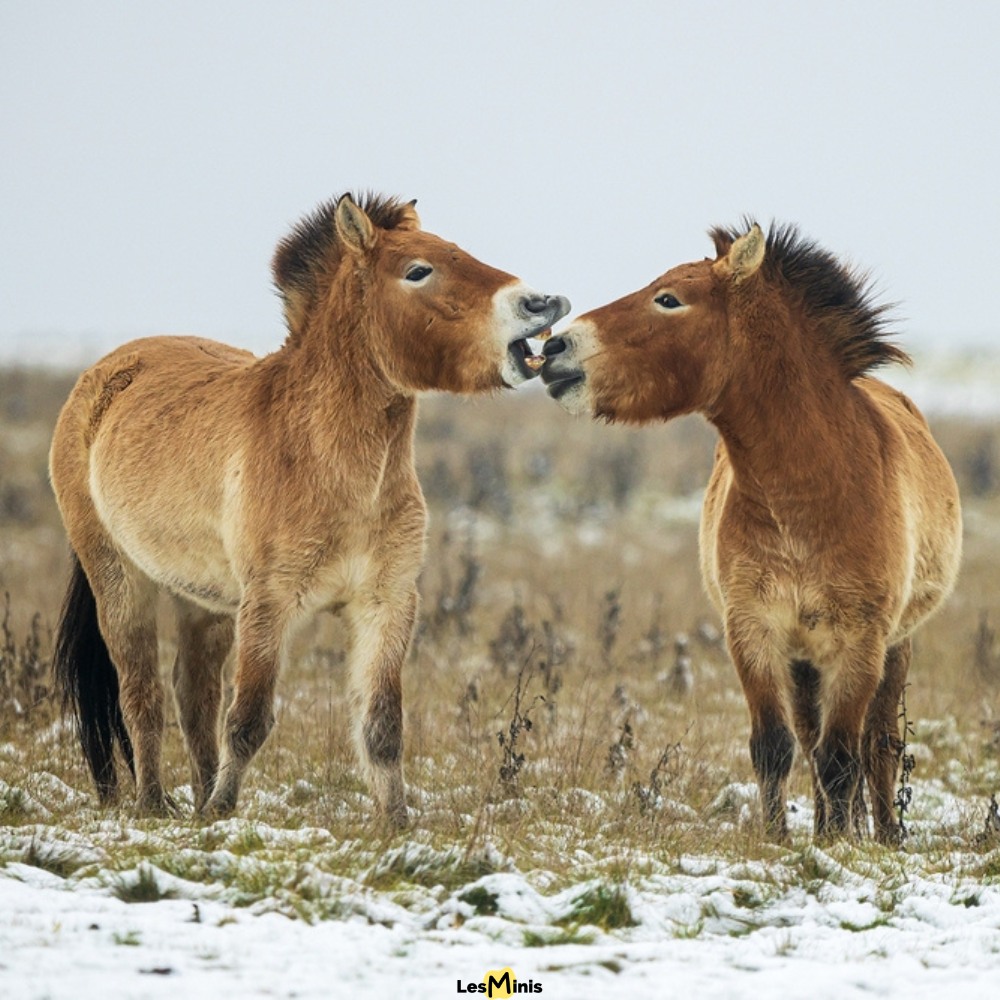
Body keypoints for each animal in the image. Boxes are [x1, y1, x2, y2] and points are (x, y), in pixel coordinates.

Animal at [50, 192, 570, 824]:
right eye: (418, 271)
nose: (542, 303)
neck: (335, 470)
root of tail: (103, 376)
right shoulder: (269, 604)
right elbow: (248, 720)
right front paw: (223, 812)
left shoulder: (386, 605)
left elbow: (381, 727)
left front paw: (396, 824)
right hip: (121, 581)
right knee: (141, 695)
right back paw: (156, 804)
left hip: (205, 602)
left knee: (193, 695)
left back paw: (195, 799)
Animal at [541, 221, 961, 844]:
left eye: (669, 300)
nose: (553, 349)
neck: (807, 494)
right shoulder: (753, 633)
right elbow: (776, 747)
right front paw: (783, 838)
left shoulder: (859, 643)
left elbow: (844, 755)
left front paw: (837, 845)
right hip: (804, 659)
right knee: (812, 739)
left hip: (894, 647)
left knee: (879, 743)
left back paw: (884, 833)